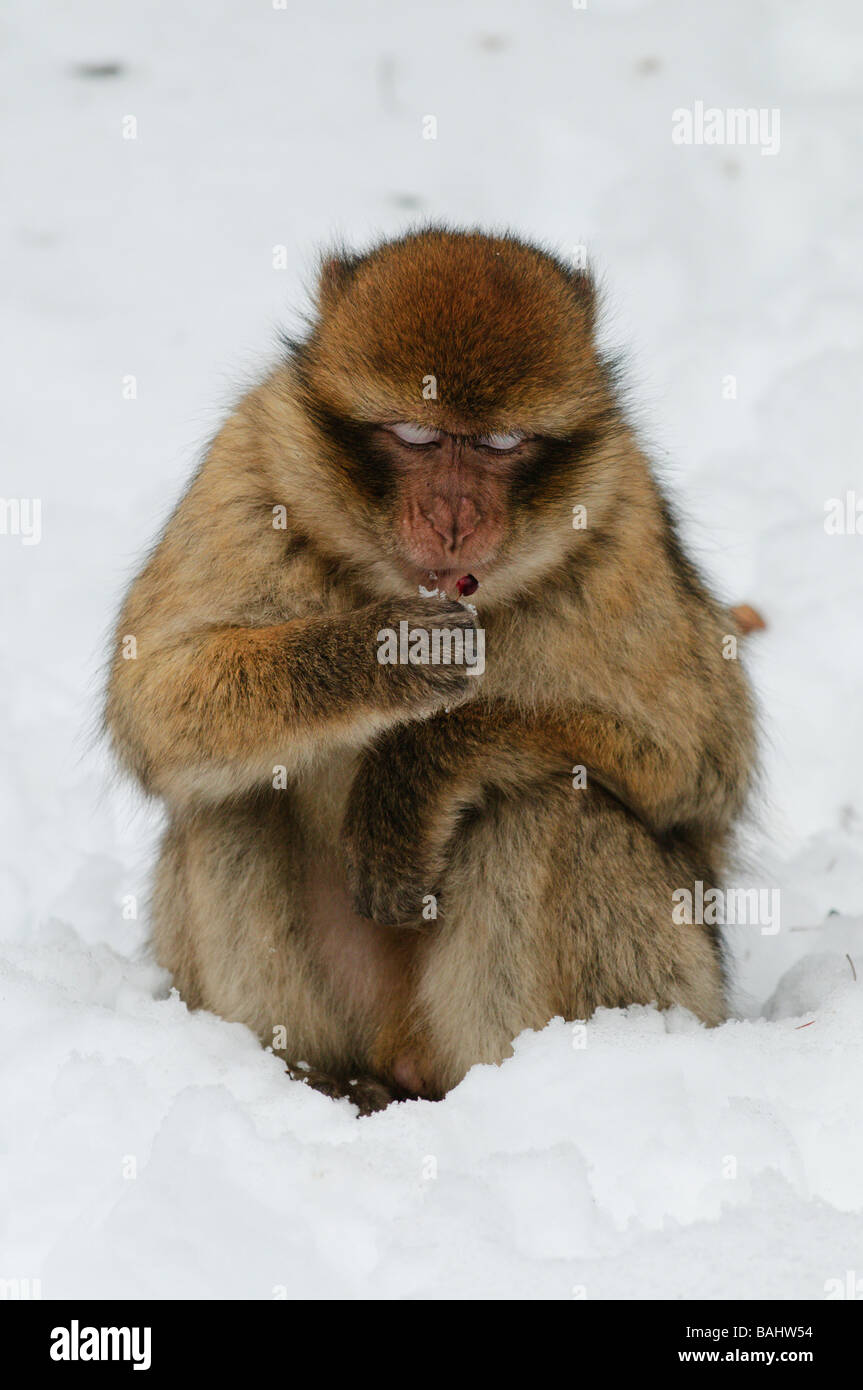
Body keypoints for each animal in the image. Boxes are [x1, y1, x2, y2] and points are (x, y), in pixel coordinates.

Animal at [104, 226, 757, 1114]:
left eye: (498, 444)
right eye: (415, 436)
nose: (453, 516)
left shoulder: (622, 524)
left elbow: (698, 763)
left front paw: (413, 775)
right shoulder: (250, 466)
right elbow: (154, 695)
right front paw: (387, 654)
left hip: (679, 988)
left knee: (555, 803)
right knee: (232, 801)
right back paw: (313, 1076)